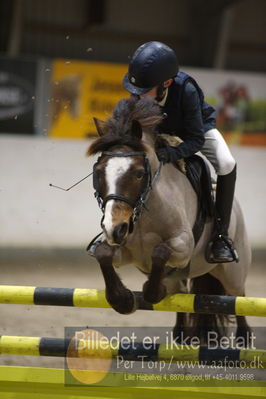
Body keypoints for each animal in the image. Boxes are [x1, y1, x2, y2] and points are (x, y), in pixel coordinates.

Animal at [87, 97, 251, 344]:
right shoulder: (126, 252)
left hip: (232, 273)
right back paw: (182, 336)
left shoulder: (183, 246)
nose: (113, 229)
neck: (146, 212)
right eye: (98, 172)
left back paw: (244, 339)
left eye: (138, 173)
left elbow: (160, 251)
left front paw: (152, 292)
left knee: (238, 299)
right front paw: (122, 300)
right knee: (181, 293)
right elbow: (103, 253)